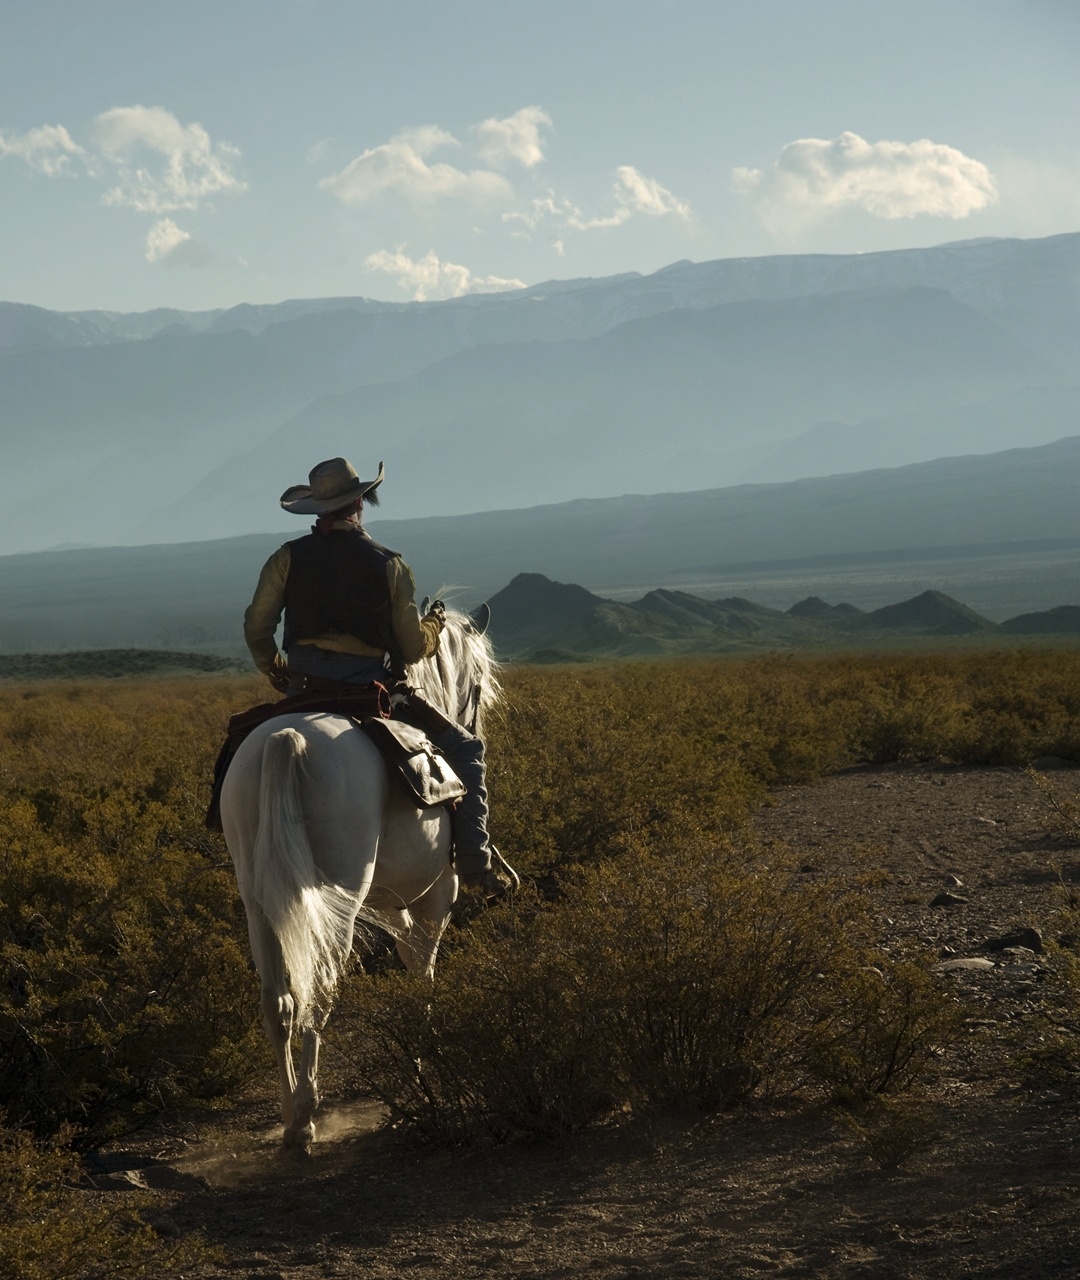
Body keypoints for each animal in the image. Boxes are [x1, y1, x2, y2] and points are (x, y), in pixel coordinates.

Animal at [225, 609, 504, 1152]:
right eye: (478, 684)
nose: (472, 724)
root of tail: (284, 741)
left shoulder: (390, 902)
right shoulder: (436, 895)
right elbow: (422, 968)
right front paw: (423, 1053)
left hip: (260, 902)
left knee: (278, 1000)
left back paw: (289, 1112)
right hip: (340, 902)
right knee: (319, 992)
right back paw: (305, 1117)